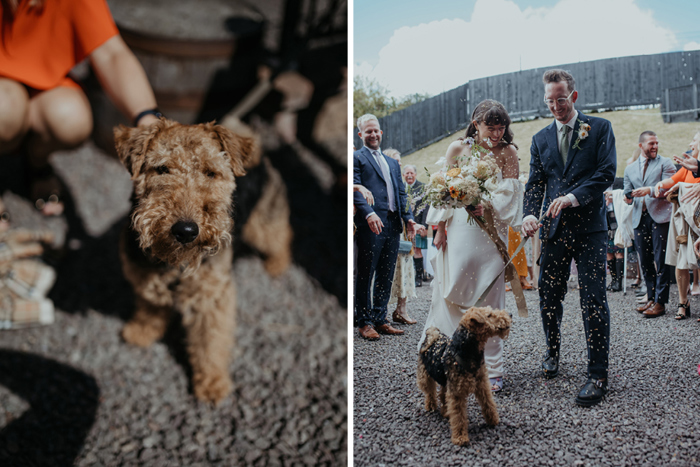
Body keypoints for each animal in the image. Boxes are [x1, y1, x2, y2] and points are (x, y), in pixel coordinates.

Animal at [114, 119, 288, 404]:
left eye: (211, 173)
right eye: (162, 169)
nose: (185, 230)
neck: (175, 264)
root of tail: (257, 154)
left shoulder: (212, 297)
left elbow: (210, 342)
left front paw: (212, 384)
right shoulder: (146, 279)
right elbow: (150, 309)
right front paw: (141, 332)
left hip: (262, 224)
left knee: (280, 236)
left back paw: (277, 264)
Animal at [418, 308, 512, 446]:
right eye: (489, 315)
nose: (510, 314)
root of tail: (432, 335)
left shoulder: (482, 384)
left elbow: (488, 403)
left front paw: (493, 420)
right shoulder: (457, 393)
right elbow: (459, 416)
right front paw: (460, 437)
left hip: (446, 382)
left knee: (442, 395)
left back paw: (445, 412)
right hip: (426, 376)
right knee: (430, 393)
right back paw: (431, 406)